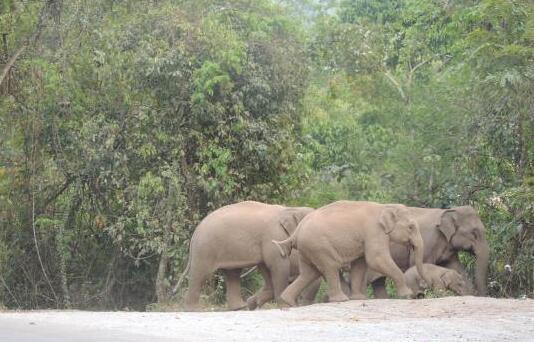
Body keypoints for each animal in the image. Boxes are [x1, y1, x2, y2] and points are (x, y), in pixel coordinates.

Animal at [178, 200, 316, 310]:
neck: (290, 209)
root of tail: (196, 232)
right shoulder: (272, 237)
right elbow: (278, 265)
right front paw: (283, 305)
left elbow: (266, 268)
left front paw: (254, 303)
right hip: (206, 248)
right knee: (201, 273)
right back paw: (192, 309)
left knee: (232, 274)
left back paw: (240, 307)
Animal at [274, 200, 430, 304]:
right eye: (411, 227)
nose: (422, 290)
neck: (384, 206)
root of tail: (296, 231)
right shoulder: (374, 231)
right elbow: (375, 259)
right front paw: (407, 295)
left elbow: (360, 264)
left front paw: (359, 298)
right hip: (319, 246)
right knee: (330, 267)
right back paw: (341, 300)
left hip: (307, 249)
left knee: (309, 273)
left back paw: (287, 301)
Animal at [358, 204, 492, 298]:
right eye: (474, 233)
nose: (480, 295)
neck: (447, 211)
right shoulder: (427, 240)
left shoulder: (449, 248)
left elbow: (456, 267)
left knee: (378, 283)